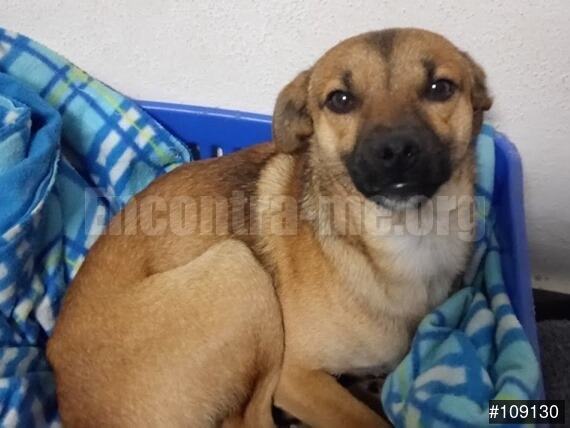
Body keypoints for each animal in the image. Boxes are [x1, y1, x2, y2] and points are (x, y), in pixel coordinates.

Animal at [47, 28, 492, 427]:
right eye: (340, 100)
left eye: (439, 88)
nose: (395, 150)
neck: (406, 240)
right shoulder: (296, 378)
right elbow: (364, 421)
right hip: (237, 268)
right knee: (247, 418)